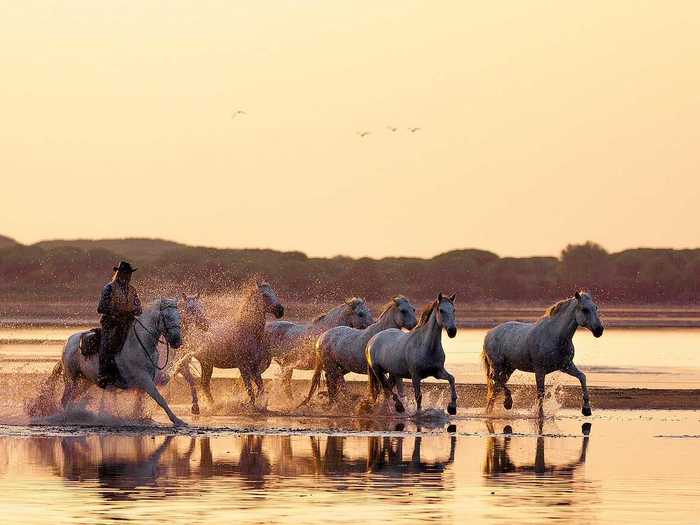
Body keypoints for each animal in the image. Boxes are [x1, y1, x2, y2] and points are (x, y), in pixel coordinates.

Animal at [39, 296, 185, 424]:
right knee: (65, 399)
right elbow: (160, 398)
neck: (140, 344)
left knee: (73, 398)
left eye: (179, 317)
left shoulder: (146, 380)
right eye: (167, 317)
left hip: (85, 381)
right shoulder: (144, 378)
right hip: (71, 379)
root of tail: (68, 341)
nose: (177, 341)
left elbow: (140, 403)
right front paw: (178, 420)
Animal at [191, 280, 284, 408]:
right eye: (265, 295)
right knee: (204, 384)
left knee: (205, 384)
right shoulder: (243, 366)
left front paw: (261, 405)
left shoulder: (255, 366)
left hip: (207, 364)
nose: (280, 310)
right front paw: (249, 405)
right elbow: (250, 389)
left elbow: (260, 388)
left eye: (274, 293)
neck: (248, 332)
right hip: (205, 364)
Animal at [484, 288, 604, 416]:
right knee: (496, 380)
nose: (599, 330)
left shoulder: (566, 366)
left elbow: (582, 377)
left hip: (509, 368)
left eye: (595, 307)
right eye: (584, 309)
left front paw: (586, 409)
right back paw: (508, 403)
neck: (555, 336)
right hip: (498, 365)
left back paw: (491, 410)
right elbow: (541, 392)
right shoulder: (540, 370)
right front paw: (540, 415)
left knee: (496, 387)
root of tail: (489, 333)